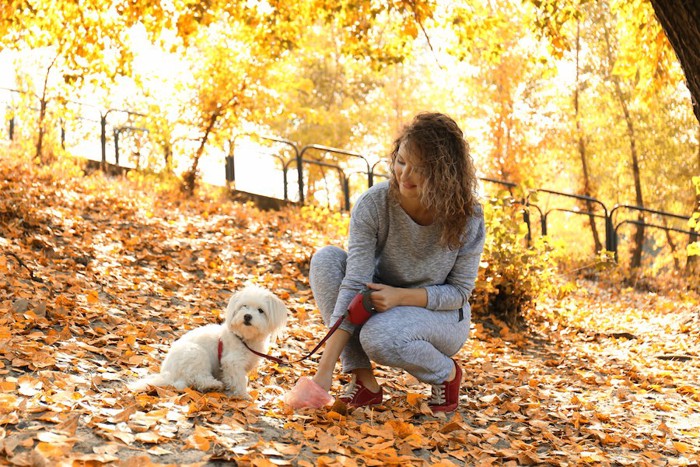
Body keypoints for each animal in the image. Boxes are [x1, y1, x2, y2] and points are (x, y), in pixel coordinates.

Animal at [129, 286, 288, 398]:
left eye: (261, 310)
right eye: (244, 306)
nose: (247, 316)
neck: (245, 339)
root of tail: (168, 373)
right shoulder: (232, 362)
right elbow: (239, 380)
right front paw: (244, 395)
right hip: (196, 353)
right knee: (197, 378)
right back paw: (212, 385)